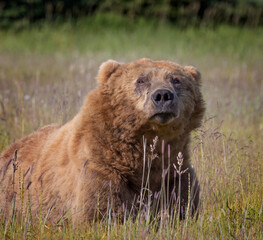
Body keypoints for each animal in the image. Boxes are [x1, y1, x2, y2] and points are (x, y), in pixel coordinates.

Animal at [0, 58, 206, 223]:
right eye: (141, 80)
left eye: (176, 80)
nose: (162, 95)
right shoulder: (100, 167)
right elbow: (99, 212)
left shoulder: (173, 173)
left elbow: (182, 205)